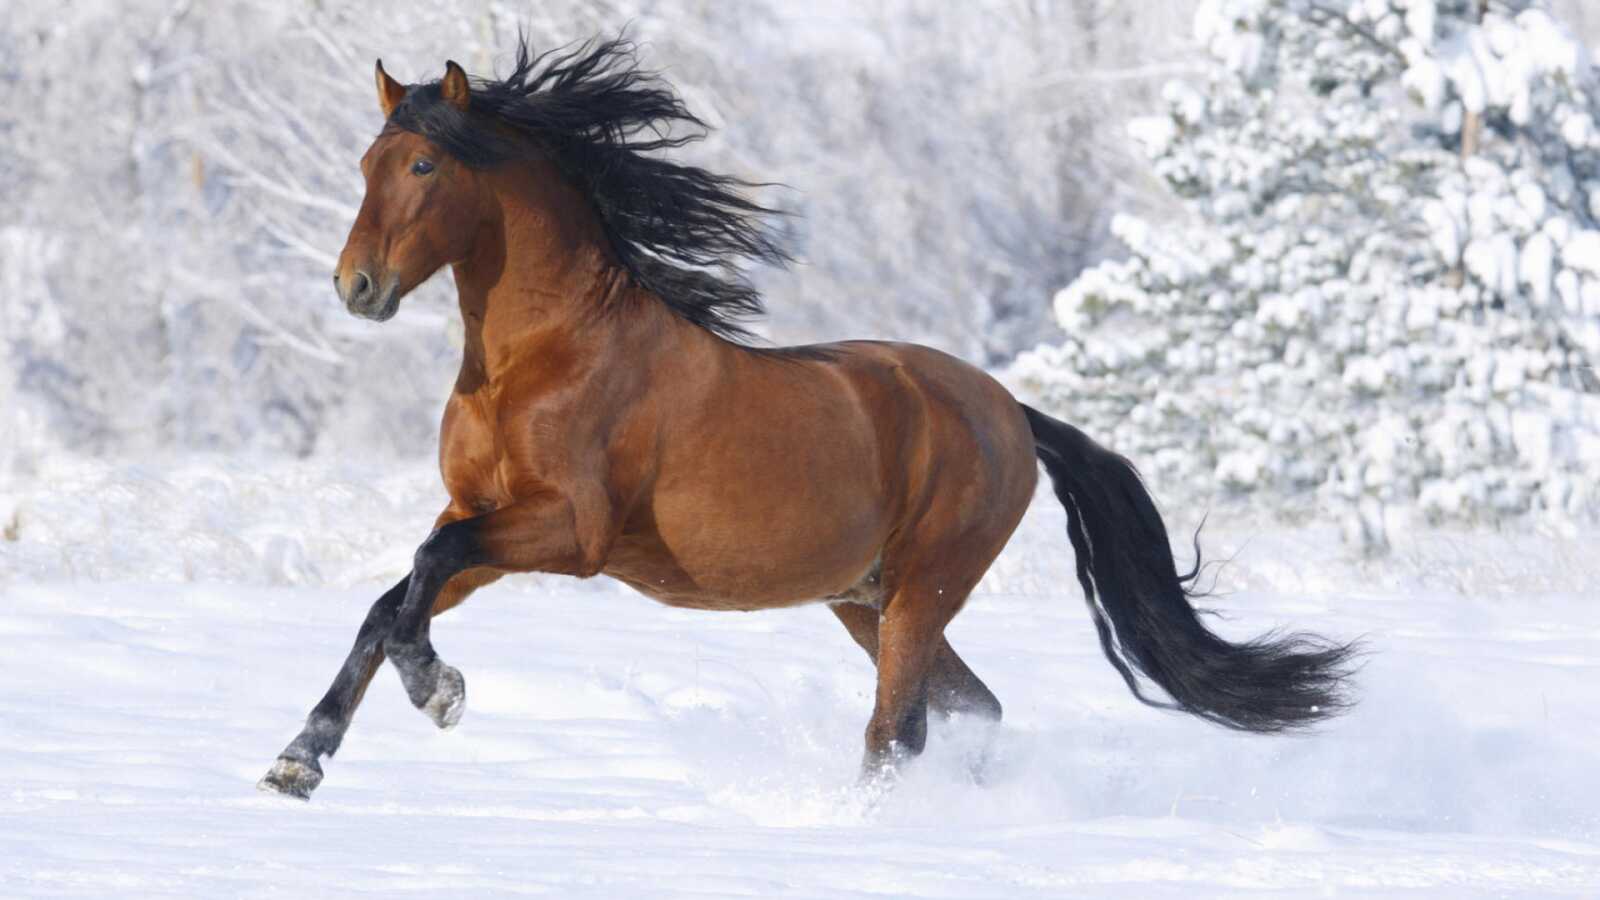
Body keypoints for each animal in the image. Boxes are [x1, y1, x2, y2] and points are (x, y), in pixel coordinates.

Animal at [258, 36, 1357, 800]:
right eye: (365, 164)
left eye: (424, 169)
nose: (356, 287)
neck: (545, 356)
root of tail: (1006, 408)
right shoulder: (480, 516)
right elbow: (392, 599)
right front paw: (299, 759)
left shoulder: (567, 531)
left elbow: (418, 577)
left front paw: (438, 692)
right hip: (863, 600)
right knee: (970, 708)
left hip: (922, 590)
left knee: (896, 730)